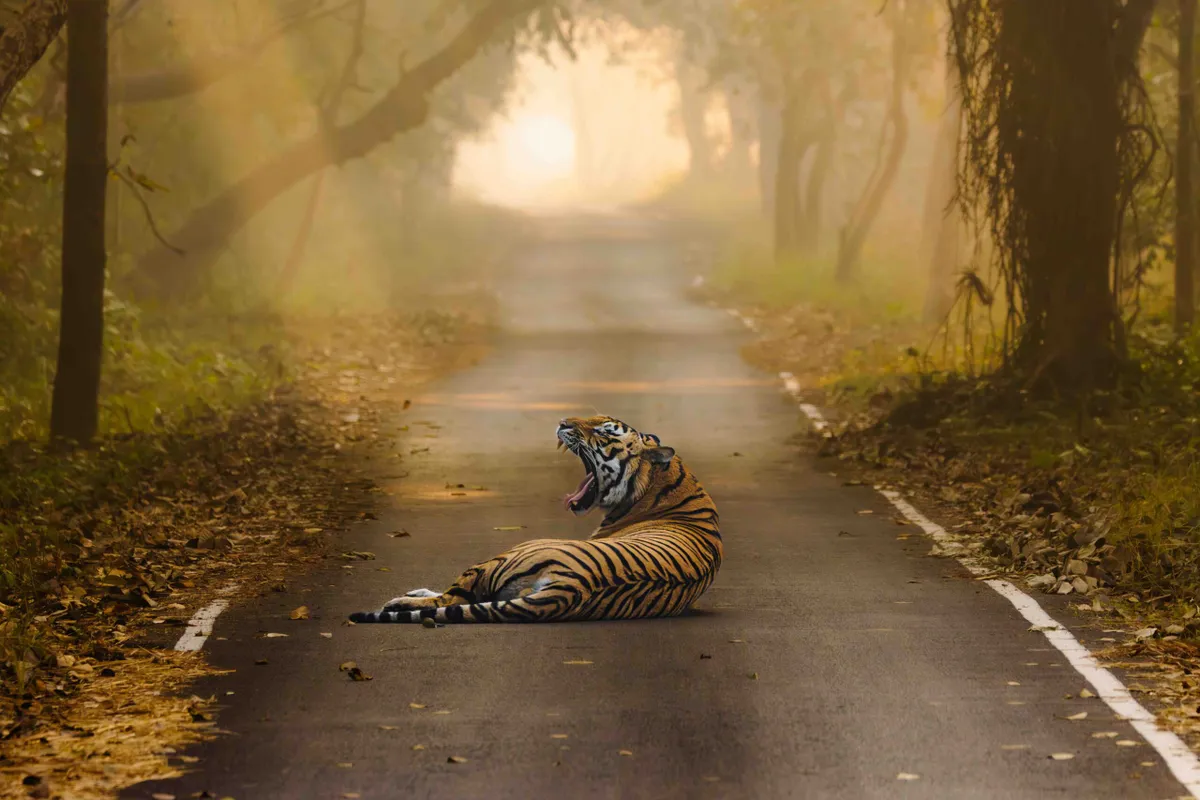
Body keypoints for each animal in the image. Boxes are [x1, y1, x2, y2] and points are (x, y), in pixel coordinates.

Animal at [348, 417, 720, 628]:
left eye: (603, 431)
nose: (563, 422)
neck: (666, 483)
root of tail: (571, 589)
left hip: (515, 549)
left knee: (451, 599)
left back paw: (399, 601)